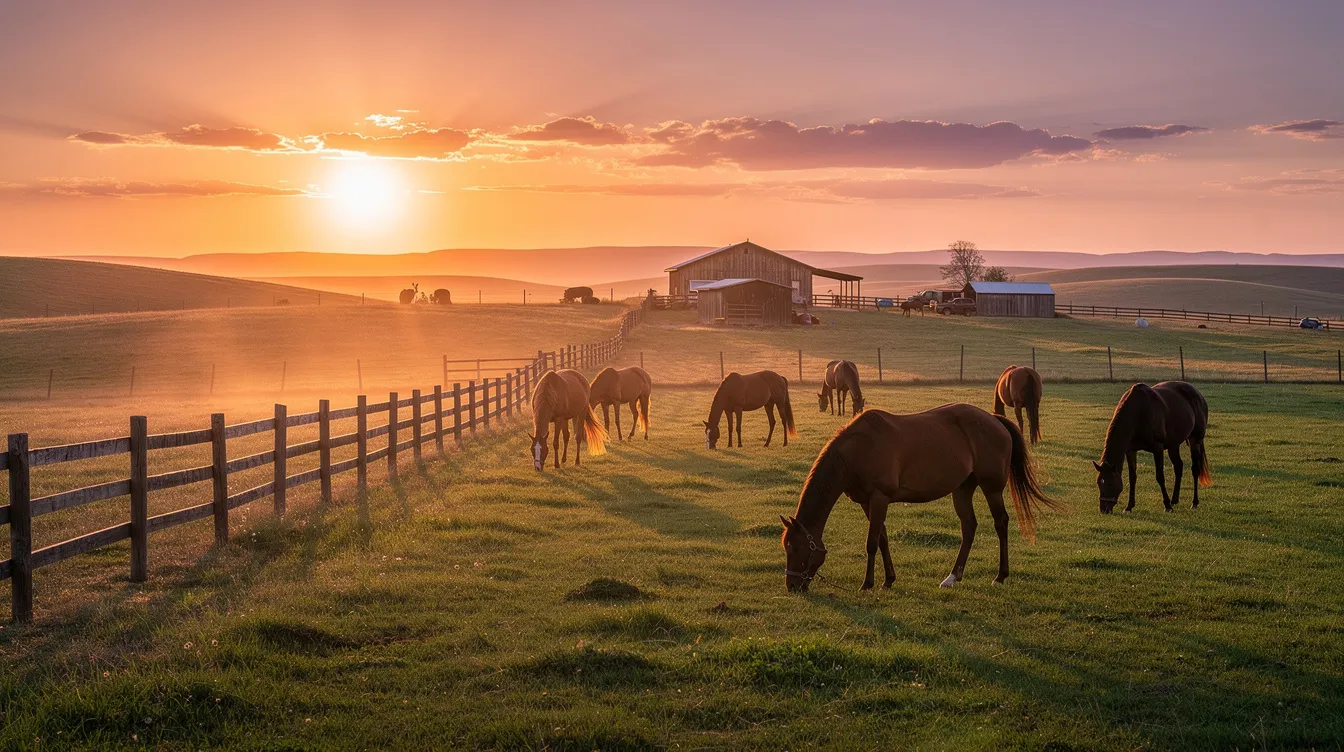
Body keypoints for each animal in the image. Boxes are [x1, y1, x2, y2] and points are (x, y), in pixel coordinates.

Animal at [781, 404, 1057, 592]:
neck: (859, 449)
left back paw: (1000, 576)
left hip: (992, 488)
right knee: (969, 527)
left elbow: (871, 542)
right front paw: (888, 580)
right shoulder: (867, 503)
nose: (792, 585)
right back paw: (952, 577)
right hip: (962, 488)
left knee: (1001, 523)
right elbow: (882, 539)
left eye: (796, 548)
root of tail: (994, 419)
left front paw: (868, 583)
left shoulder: (879, 498)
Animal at [1093, 381, 1211, 513]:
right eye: (1099, 483)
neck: (1138, 412)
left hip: (1195, 440)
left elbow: (1160, 476)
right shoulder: (1130, 450)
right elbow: (1132, 477)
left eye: (1110, 484)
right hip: (1173, 444)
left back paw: (1194, 502)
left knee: (1195, 469)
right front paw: (1129, 506)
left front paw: (1167, 506)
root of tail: (1198, 394)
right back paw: (1174, 500)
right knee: (1178, 466)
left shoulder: (1157, 447)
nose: (1104, 509)